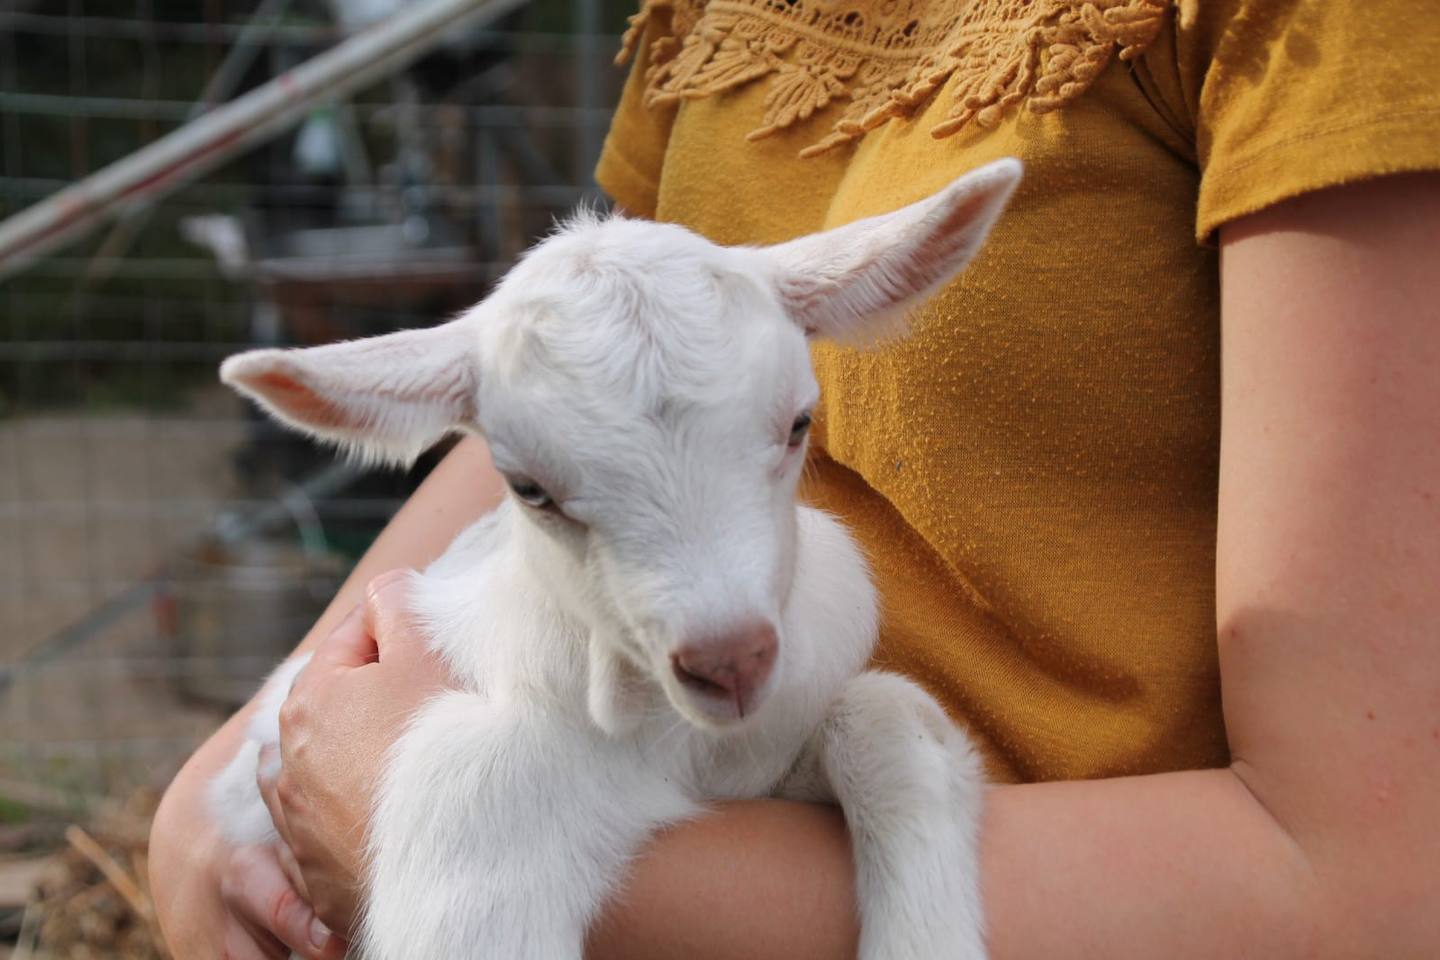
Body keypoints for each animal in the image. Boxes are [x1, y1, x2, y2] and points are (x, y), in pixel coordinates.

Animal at [210, 159, 1025, 960]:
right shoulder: (474, 800)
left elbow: (887, 714)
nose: (730, 661)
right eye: (529, 487)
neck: (681, 746)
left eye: (799, 423)